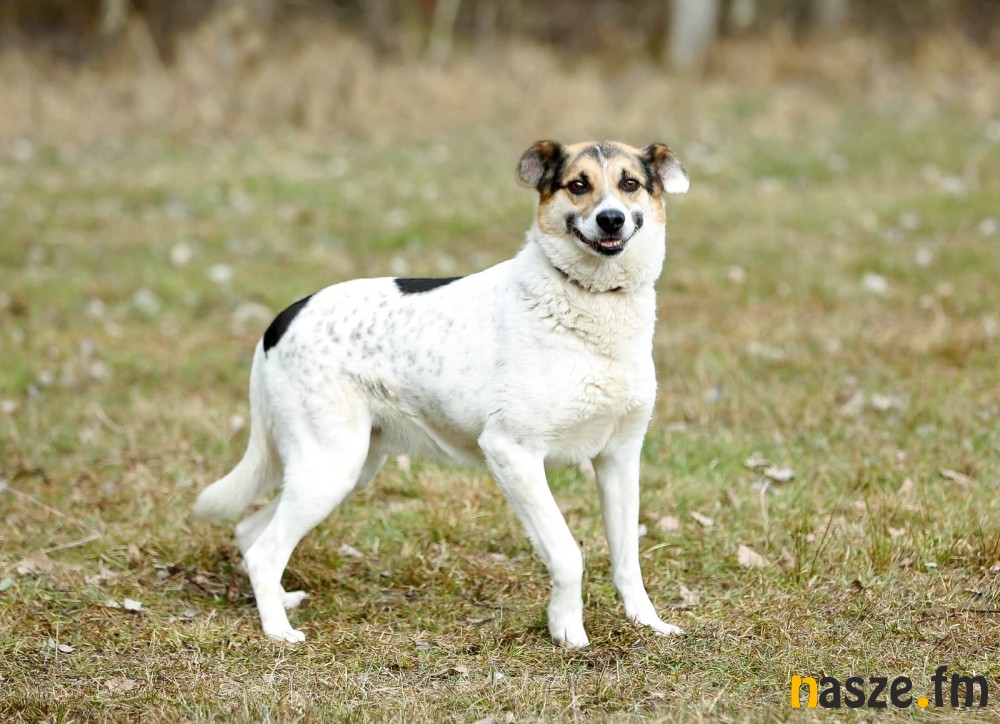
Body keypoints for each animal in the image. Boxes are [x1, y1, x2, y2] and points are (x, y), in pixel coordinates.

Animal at [194, 140, 690, 647]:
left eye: (629, 183)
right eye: (578, 185)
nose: (611, 219)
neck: (593, 300)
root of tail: (282, 318)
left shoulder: (619, 459)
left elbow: (627, 559)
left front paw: (646, 622)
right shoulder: (513, 453)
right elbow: (567, 553)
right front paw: (567, 629)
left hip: (346, 468)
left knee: (251, 530)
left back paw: (279, 600)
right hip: (330, 466)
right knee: (264, 550)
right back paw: (278, 631)